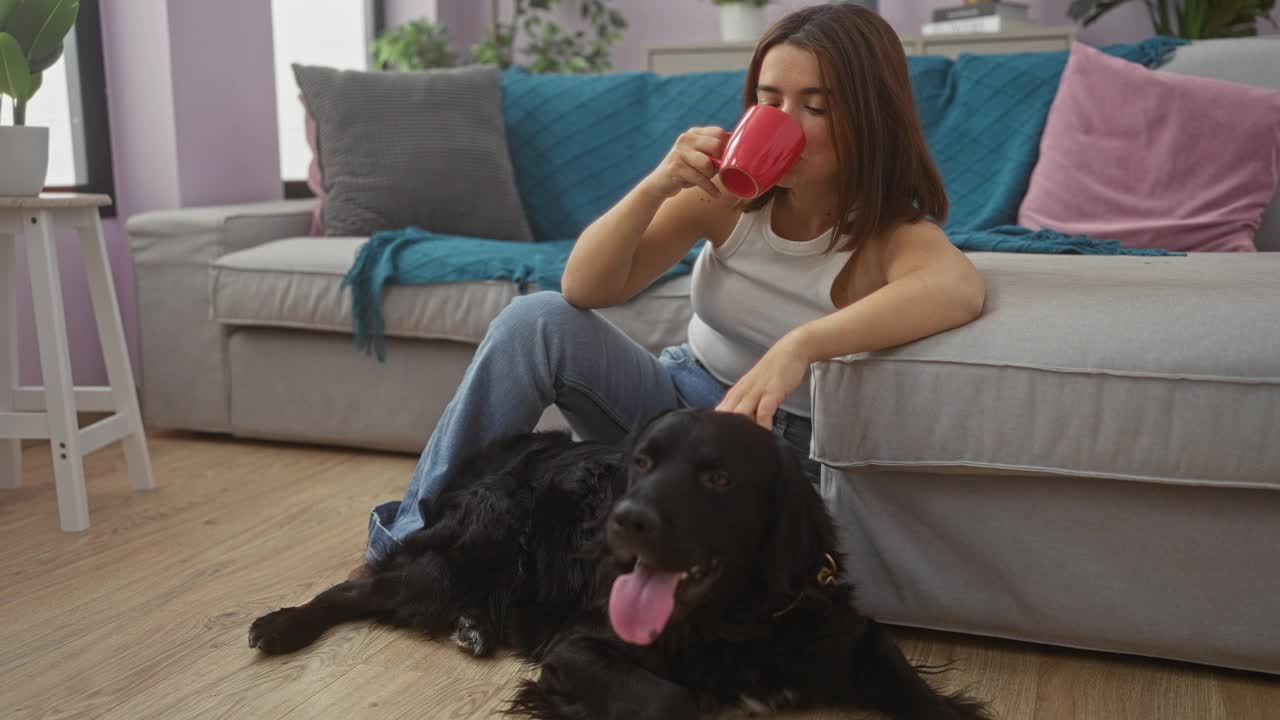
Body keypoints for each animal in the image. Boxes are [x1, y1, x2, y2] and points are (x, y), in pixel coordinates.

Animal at [249, 407, 988, 712]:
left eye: (718, 478)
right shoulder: (578, 647)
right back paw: (280, 626)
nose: (622, 522)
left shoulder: (848, 632)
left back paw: (476, 628)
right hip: (464, 558)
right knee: (355, 589)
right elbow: (673, 699)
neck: (736, 623)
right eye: (642, 463)